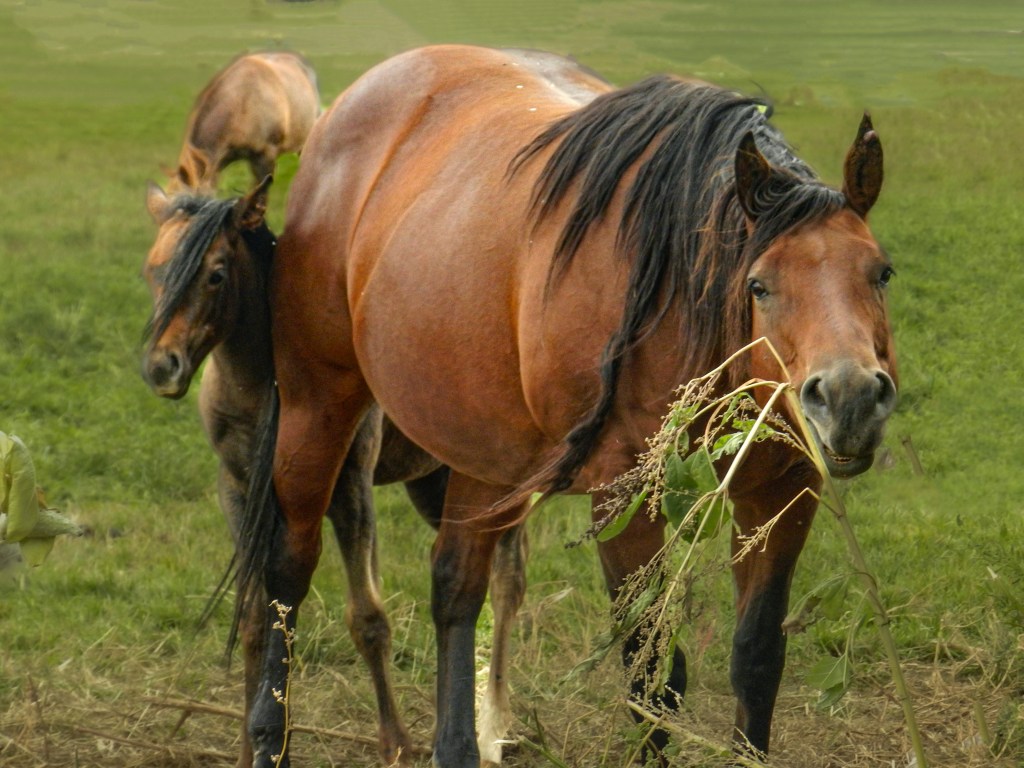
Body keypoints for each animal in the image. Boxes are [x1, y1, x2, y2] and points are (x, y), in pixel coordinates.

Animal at [140, 176, 528, 765]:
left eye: (216, 274)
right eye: (152, 269)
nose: (162, 368)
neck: (263, 386)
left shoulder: (348, 489)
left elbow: (367, 618)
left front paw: (396, 745)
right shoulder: (237, 490)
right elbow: (255, 620)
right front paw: (250, 748)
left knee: (510, 572)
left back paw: (494, 727)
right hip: (430, 483)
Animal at [237, 44, 897, 767]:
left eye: (881, 272)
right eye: (760, 285)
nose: (850, 399)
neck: (671, 289)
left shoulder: (784, 488)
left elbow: (755, 659)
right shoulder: (623, 498)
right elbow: (650, 674)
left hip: (482, 457)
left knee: (455, 587)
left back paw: (459, 743)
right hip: (318, 404)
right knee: (289, 567)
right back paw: (269, 737)